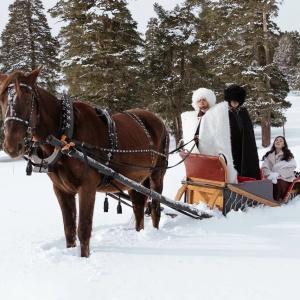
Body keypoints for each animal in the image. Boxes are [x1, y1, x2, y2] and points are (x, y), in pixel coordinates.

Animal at [0, 69, 169, 256]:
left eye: (28, 98)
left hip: (157, 174)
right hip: (135, 180)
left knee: (155, 207)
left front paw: (84, 258)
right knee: (139, 207)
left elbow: (83, 229)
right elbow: (69, 230)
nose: (11, 145)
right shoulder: (61, 189)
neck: (65, 136)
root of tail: (158, 119)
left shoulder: (87, 187)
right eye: (2, 100)